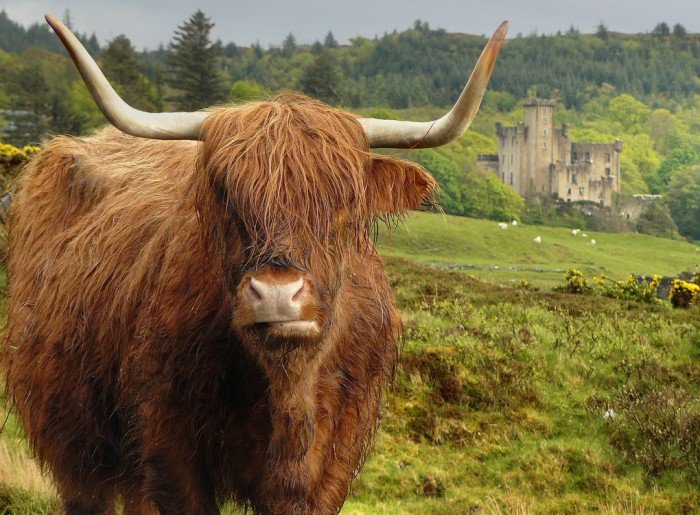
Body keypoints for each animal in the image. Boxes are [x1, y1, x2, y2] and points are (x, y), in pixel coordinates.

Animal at [1, 14, 507, 514]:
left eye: (345, 204)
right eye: (227, 199)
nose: (278, 295)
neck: (289, 389)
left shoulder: (335, 457)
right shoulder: (167, 446)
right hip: (73, 439)